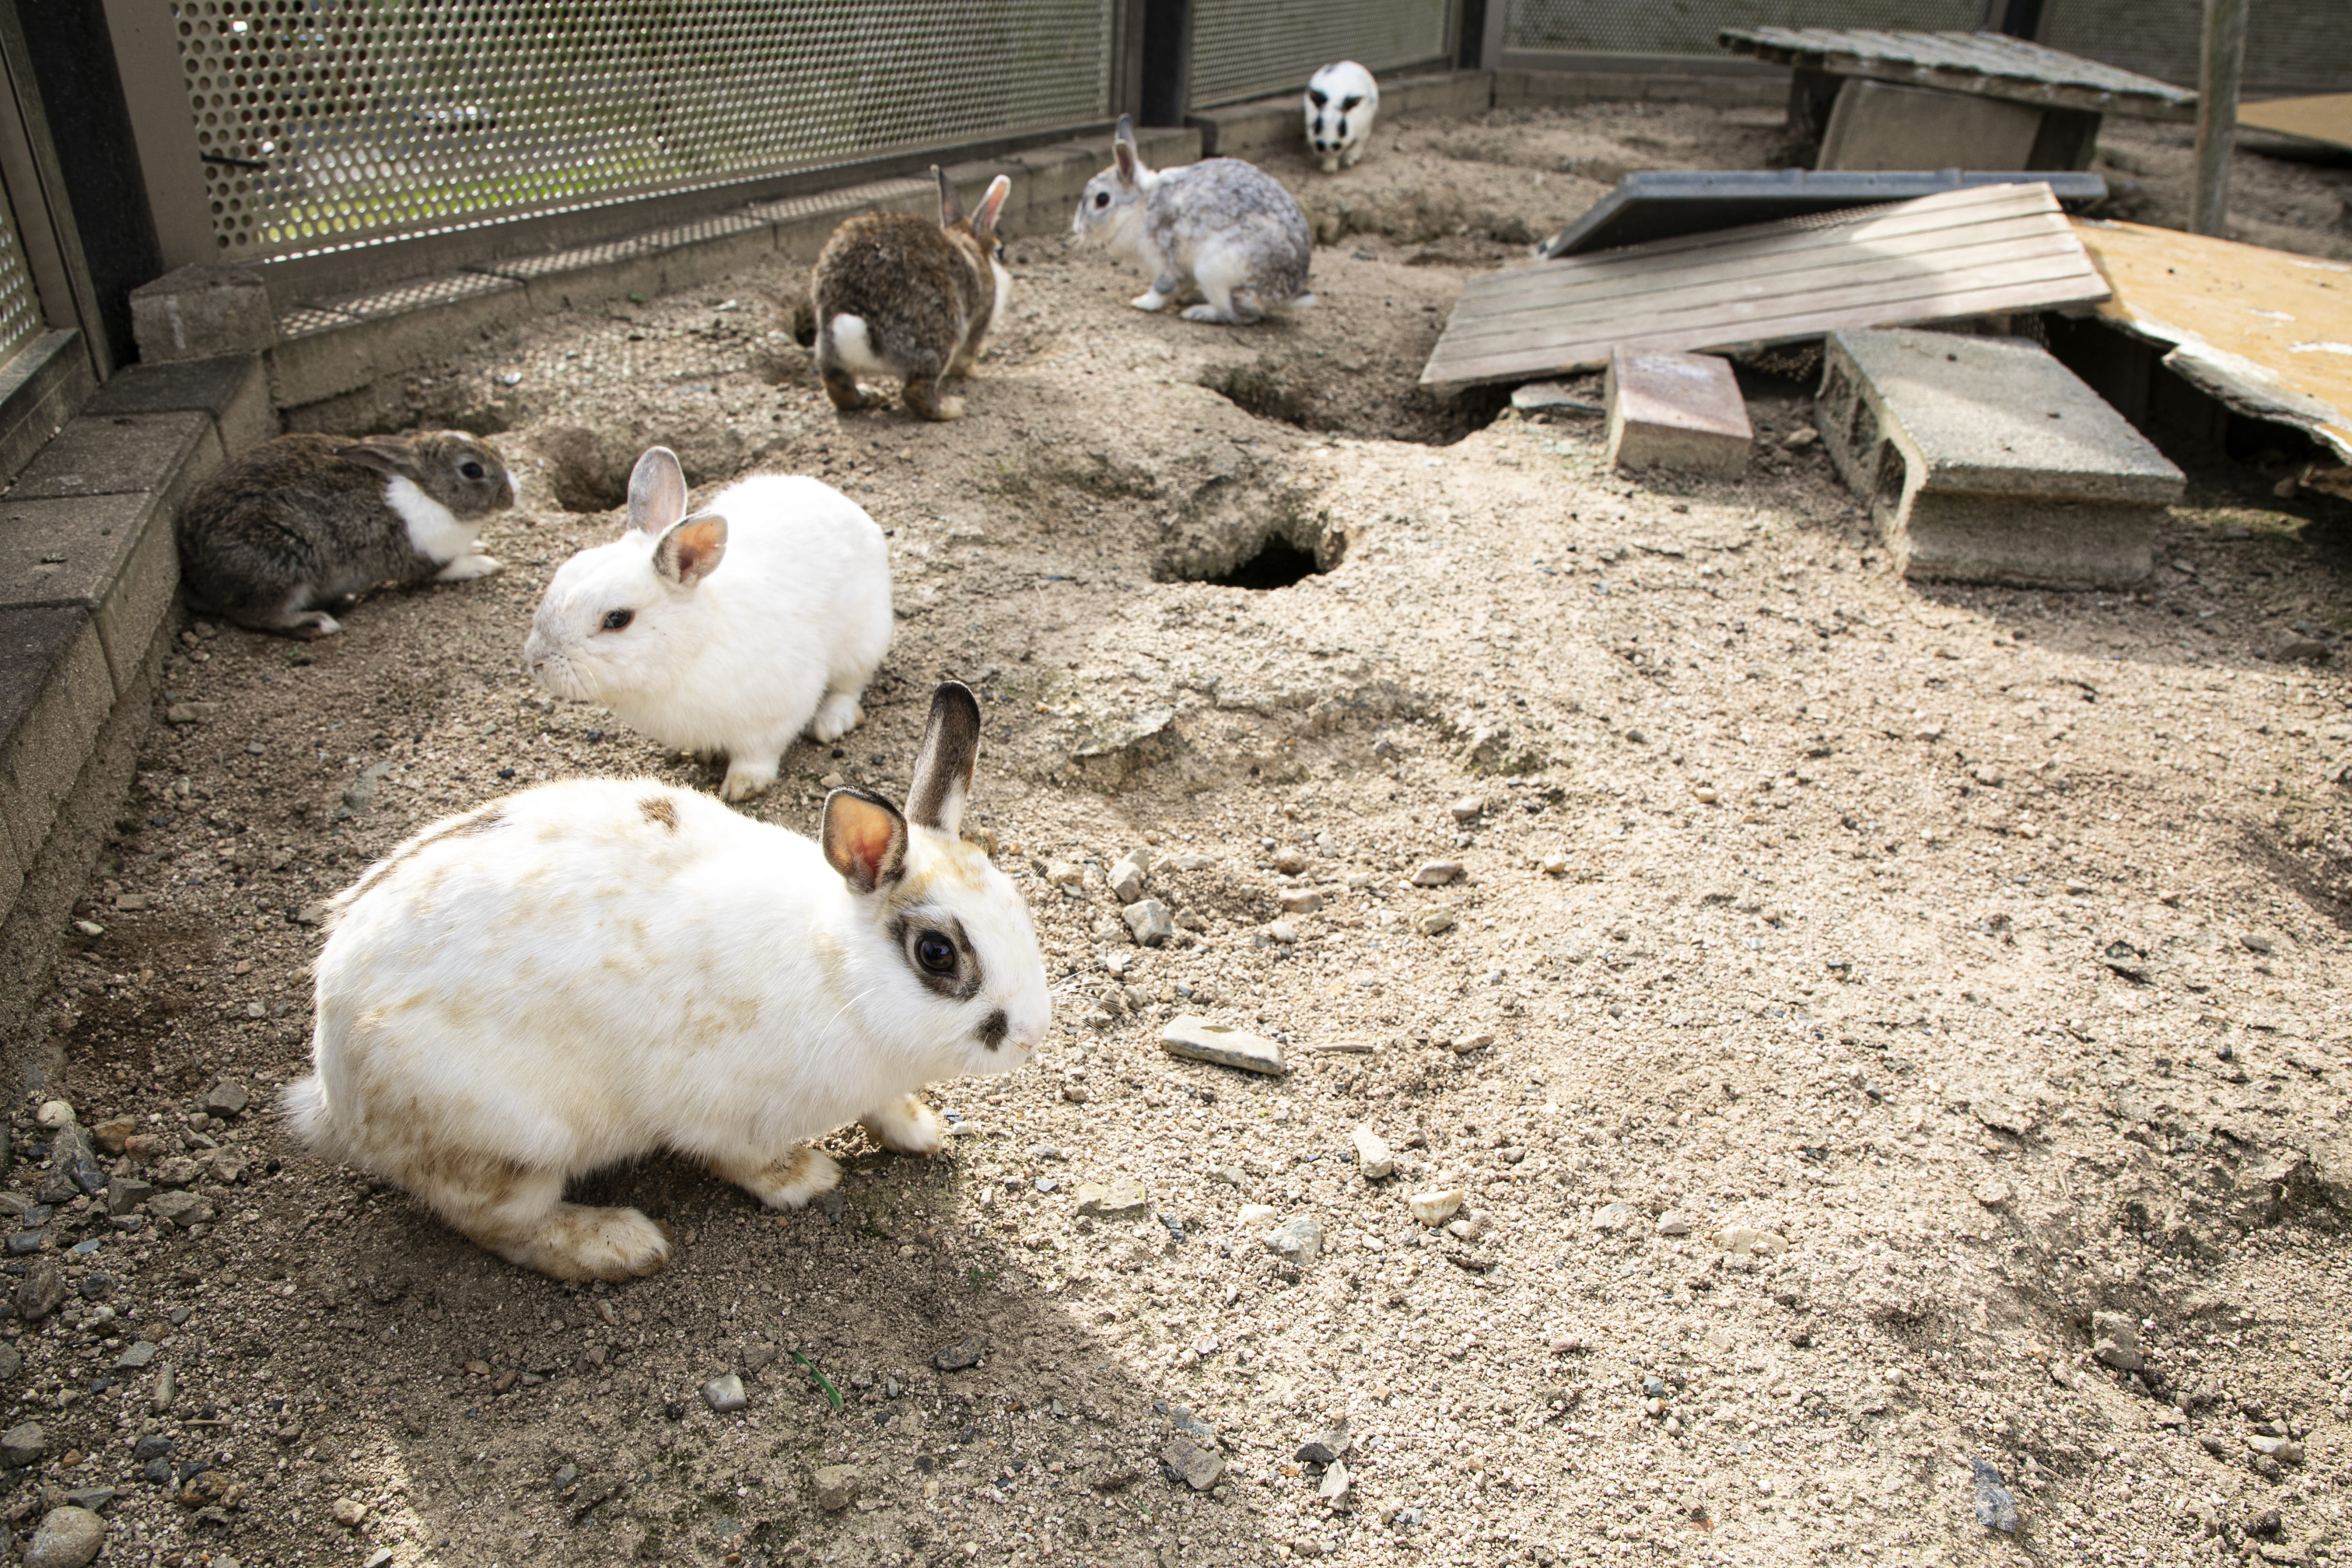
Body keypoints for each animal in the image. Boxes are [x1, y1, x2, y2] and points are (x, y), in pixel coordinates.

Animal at [284, 686, 1049, 1288]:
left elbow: (885, 1109)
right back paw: (621, 1245)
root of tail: (333, 1089)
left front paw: (922, 1131)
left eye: (1016, 902)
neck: (839, 970)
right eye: (937, 953)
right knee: (500, 1225)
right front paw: (808, 1178)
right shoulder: (726, 1114)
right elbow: (744, 1161)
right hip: (511, 1142)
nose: (1032, 1035)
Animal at [524, 447, 889, 804]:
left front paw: (743, 786)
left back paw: (832, 723)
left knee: (849, 685)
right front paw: (704, 755)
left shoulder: (776, 716)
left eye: (617, 618)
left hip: (862, 641)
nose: (537, 662)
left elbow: (759, 755)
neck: (691, 651)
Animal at [813, 169, 1007, 420]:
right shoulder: (978, 323)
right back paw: (951, 408)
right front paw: (974, 372)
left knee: (838, 388)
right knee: (915, 393)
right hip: (940, 330)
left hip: (828, 347)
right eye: (1000, 251)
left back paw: (869, 396)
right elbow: (966, 357)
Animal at [1072, 117, 1317, 329]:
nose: (1078, 229)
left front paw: (1142, 302)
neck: (1140, 206)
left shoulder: (1167, 255)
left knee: (1242, 315)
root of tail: (1287, 294)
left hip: (1217, 271)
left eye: (1102, 200)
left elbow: (1163, 287)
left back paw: (1199, 313)